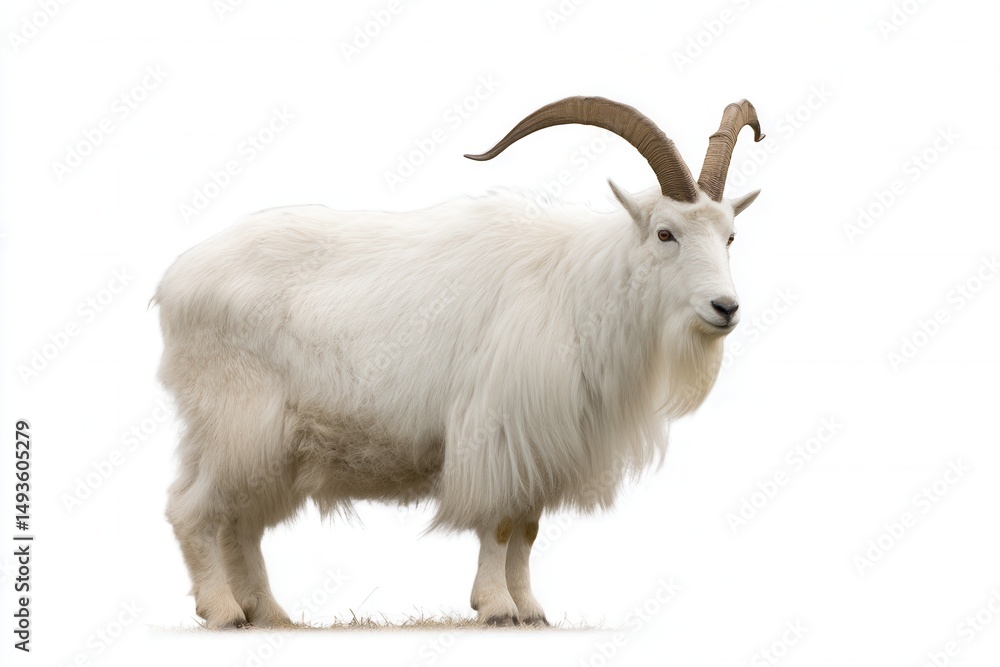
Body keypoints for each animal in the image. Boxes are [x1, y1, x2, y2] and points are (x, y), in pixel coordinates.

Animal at [154, 96, 764, 628]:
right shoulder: (499, 432)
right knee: (195, 512)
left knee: (240, 523)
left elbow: (528, 530)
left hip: (263, 445)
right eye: (666, 233)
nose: (725, 308)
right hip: (239, 424)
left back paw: (268, 614)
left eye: (731, 236)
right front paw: (495, 608)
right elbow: (500, 527)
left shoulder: (538, 446)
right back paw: (223, 612)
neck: (577, 291)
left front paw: (531, 610)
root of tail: (176, 281)